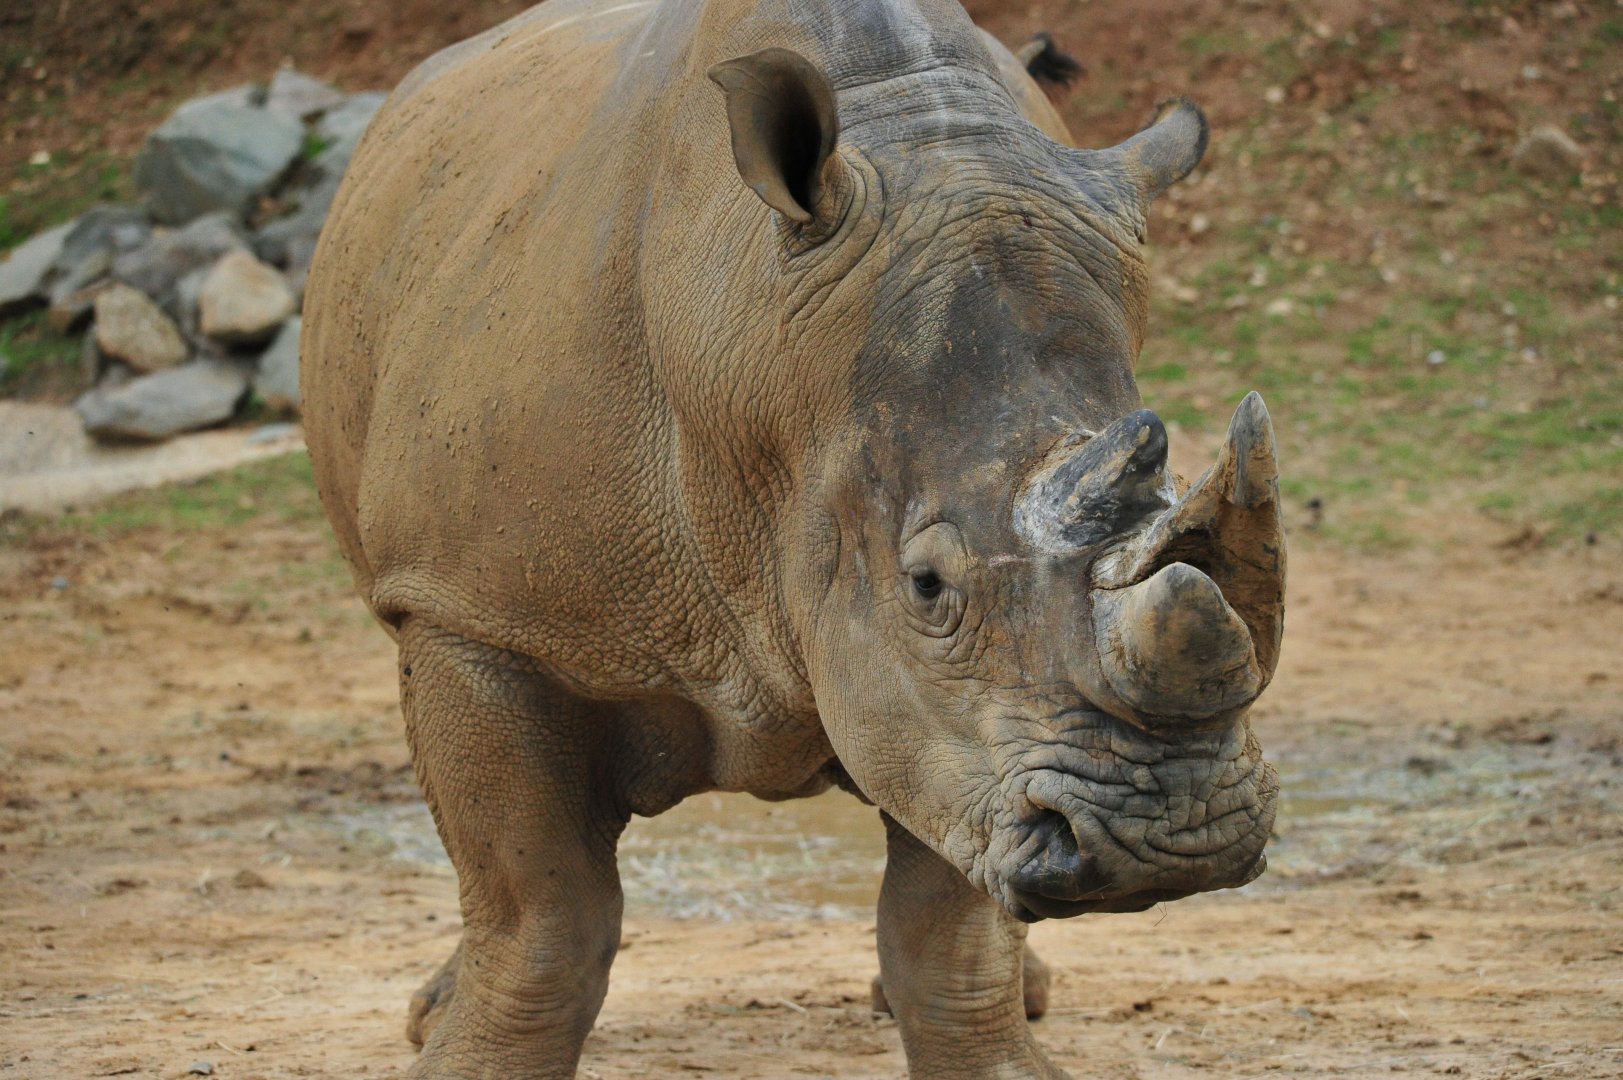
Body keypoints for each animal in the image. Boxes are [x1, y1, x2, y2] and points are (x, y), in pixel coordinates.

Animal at [301, 0, 1286, 1075]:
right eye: (927, 585)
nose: (1177, 836)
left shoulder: (946, 717)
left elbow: (945, 930)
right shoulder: (473, 611)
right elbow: (543, 914)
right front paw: (462, 1056)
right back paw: (431, 1010)